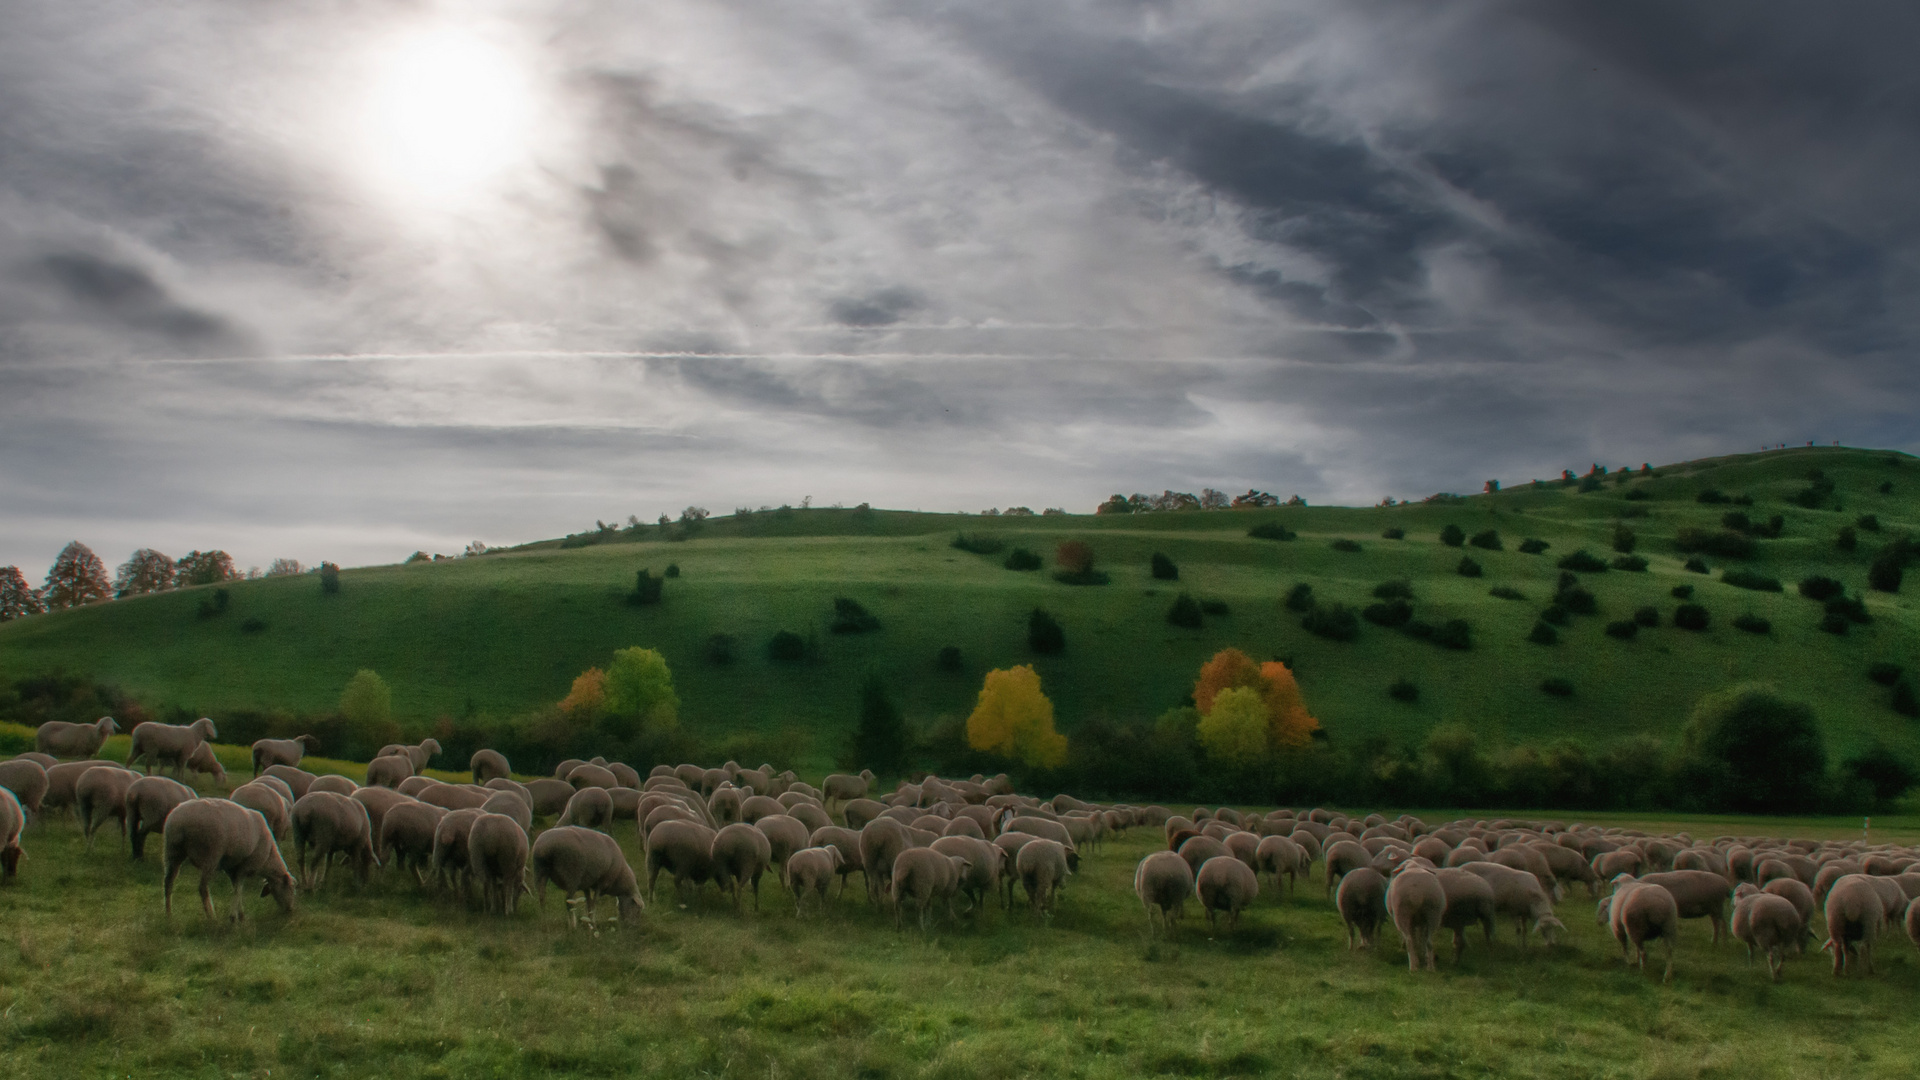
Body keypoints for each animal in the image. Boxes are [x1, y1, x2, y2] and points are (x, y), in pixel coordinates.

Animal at [161, 795, 295, 922]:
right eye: (291, 888)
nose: (290, 910)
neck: (268, 858)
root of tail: (181, 820)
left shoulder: (231, 868)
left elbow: (235, 888)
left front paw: (240, 916)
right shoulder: (245, 866)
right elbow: (238, 889)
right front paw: (233, 917)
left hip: (172, 851)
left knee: (168, 882)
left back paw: (169, 915)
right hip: (212, 854)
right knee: (202, 888)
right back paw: (211, 917)